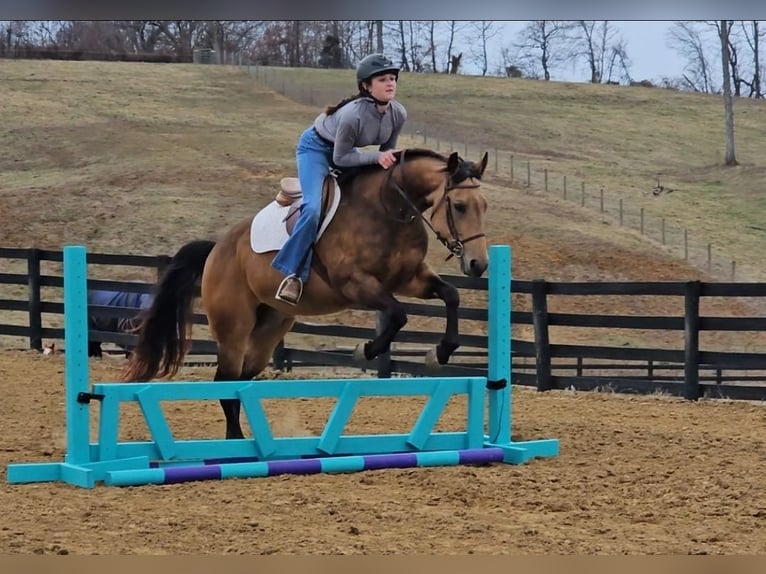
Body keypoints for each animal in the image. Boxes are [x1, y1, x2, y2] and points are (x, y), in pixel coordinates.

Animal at [123, 148, 490, 439]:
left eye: (483, 206)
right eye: (459, 206)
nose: (478, 264)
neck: (389, 209)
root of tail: (217, 249)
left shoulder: (409, 280)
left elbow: (451, 296)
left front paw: (439, 353)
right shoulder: (355, 283)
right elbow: (398, 315)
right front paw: (365, 351)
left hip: (269, 328)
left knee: (241, 379)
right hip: (233, 328)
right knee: (225, 382)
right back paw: (235, 444)